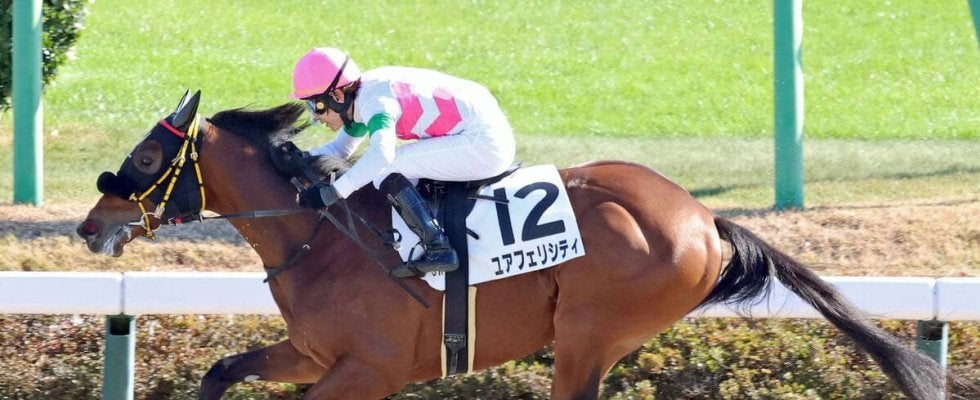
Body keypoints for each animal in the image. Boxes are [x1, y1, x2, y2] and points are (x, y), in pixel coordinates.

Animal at [76, 91, 946, 399]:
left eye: (147, 159)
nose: (89, 225)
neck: (322, 239)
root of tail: (704, 218)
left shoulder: (370, 370)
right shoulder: (316, 354)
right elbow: (222, 371)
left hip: (590, 331)